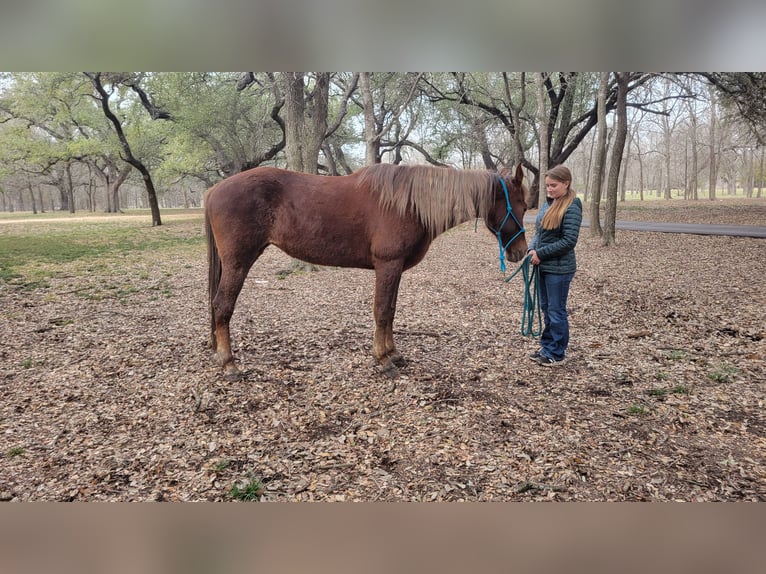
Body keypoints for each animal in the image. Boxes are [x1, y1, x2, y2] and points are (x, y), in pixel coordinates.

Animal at [204, 162, 528, 378]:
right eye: (522, 207)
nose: (521, 252)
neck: (408, 204)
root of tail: (214, 190)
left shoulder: (395, 269)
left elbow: (392, 310)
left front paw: (394, 353)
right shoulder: (387, 265)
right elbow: (382, 310)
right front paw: (382, 359)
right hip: (238, 263)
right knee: (222, 306)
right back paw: (229, 363)